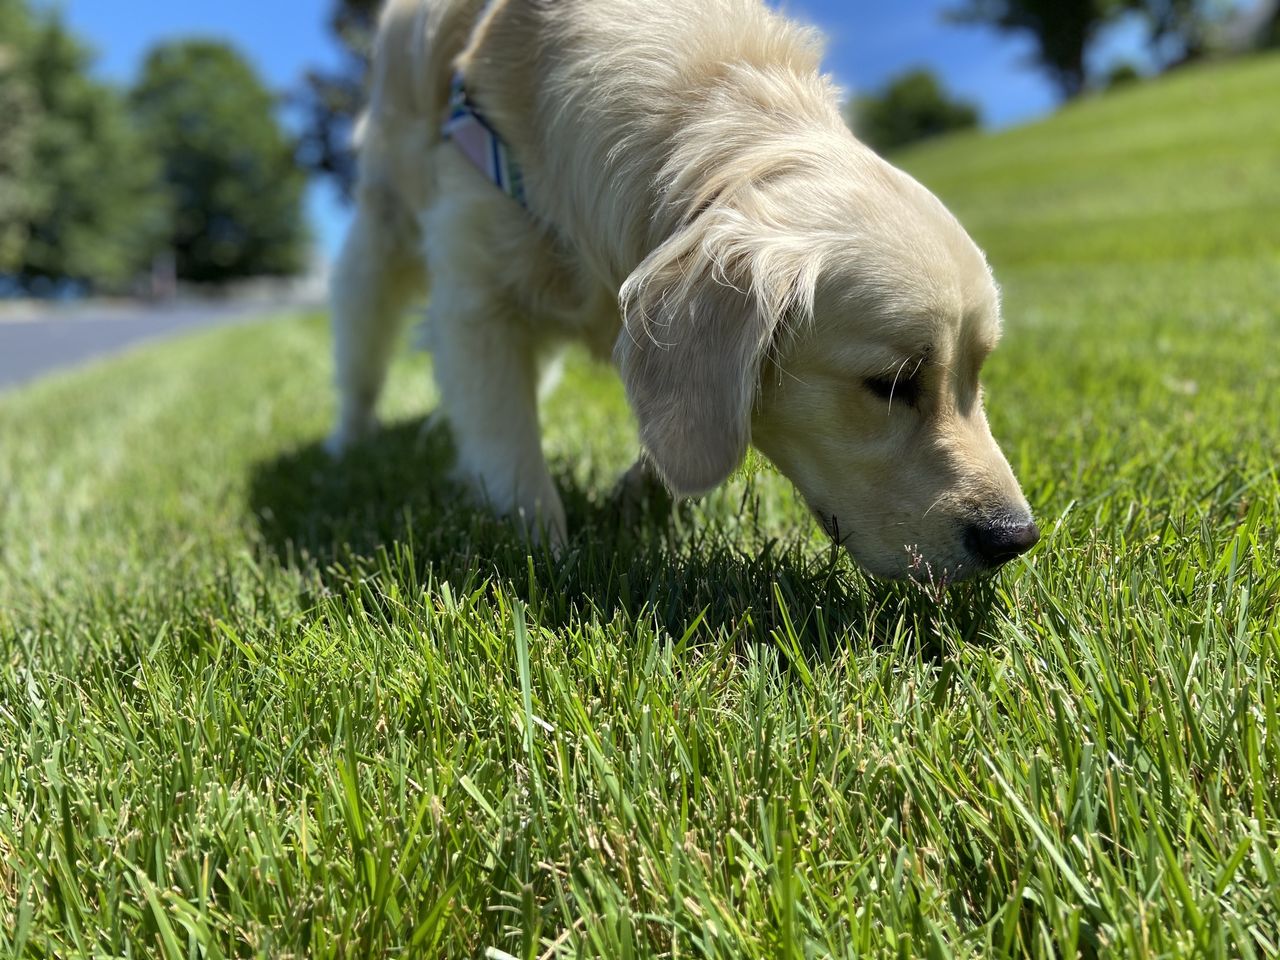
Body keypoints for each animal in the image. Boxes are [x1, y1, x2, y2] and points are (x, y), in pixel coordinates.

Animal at [327, 0, 1039, 578]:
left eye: (977, 373)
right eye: (890, 385)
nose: (1015, 538)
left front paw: (635, 497)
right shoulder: (476, 303)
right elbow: (509, 453)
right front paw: (544, 559)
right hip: (378, 248)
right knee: (362, 359)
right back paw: (346, 446)